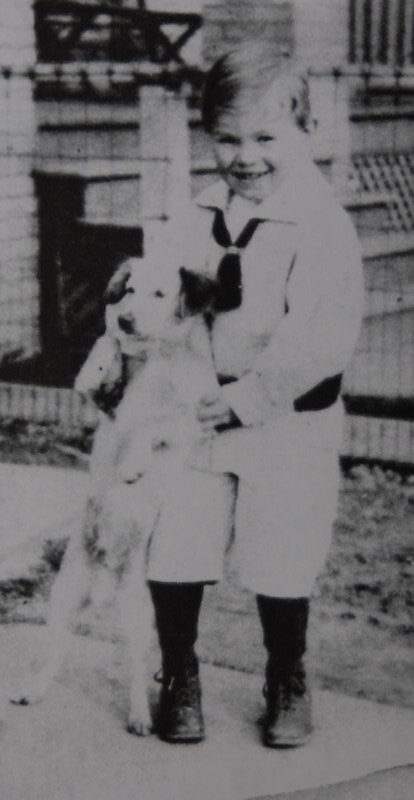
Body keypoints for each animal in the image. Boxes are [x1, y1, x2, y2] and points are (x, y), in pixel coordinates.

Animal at [10, 254, 219, 736]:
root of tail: (105, 576)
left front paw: (133, 464)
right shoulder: (109, 399)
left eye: (160, 293)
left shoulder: (191, 420)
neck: (156, 357)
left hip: (139, 611)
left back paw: (140, 716)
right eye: (128, 290)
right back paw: (34, 688)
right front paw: (103, 357)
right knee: (57, 647)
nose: (124, 318)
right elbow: (102, 355)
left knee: (138, 670)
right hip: (64, 594)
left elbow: (151, 425)